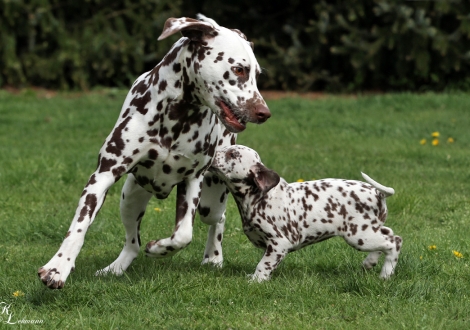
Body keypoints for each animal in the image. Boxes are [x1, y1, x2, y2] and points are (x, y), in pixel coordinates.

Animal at [38, 14, 270, 288]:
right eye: (239, 69)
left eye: (257, 73)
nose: (264, 113)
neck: (177, 116)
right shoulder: (102, 176)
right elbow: (78, 227)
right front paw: (58, 267)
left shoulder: (192, 182)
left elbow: (182, 235)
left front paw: (159, 248)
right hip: (130, 197)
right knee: (132, 243)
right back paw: (116, 268)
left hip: (210, 203)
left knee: (218, 219)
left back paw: (213, 257)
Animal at [211, 146, 402, 282]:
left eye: (232, 154)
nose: (211, 153)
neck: (259, 197)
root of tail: (377, 192)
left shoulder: (279, 243)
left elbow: (263, 265)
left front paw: (256, 281)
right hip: (369, 231)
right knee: (388, 235)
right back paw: (370, 262)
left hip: (358, 235)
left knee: (394, 241)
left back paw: (385, 275)